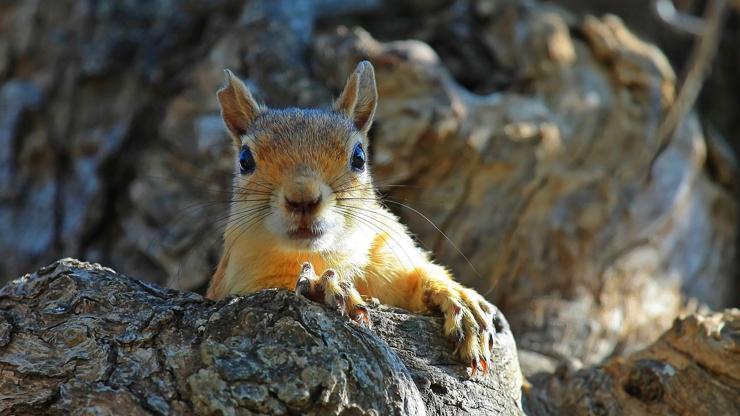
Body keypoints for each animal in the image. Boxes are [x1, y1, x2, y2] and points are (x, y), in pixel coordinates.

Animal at [207, 61, 498, 376]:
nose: (302, 198)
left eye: (359, 157)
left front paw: (459, 300)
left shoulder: (389, 255)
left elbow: (420, 277)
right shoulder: (239, 278)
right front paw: (322, 285)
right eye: (245, 160)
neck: (330, 253)